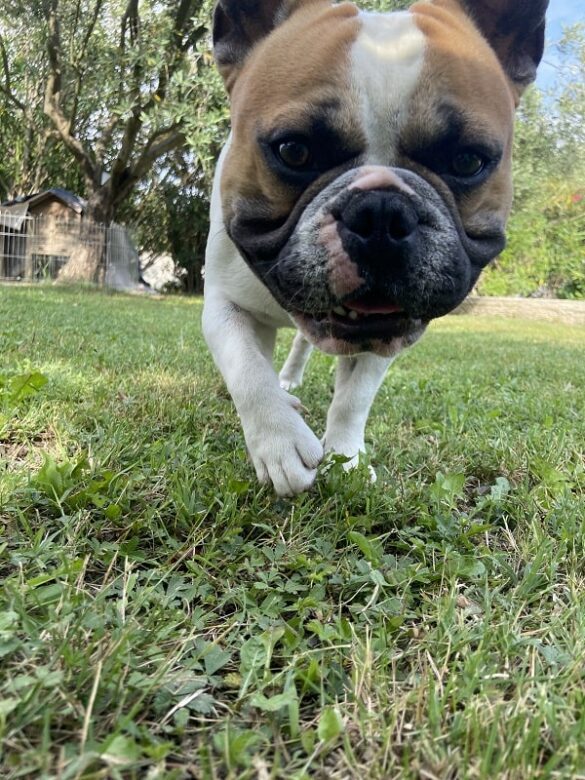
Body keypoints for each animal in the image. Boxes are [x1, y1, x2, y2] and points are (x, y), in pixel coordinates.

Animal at [202, 0, 548, 496]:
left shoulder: (386, 332)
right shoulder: (224, 303)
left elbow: (354, 398)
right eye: (294, 151)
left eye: (467, 161)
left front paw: (345, 458)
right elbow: (247, 369)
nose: (382, 213)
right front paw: (280, 443)